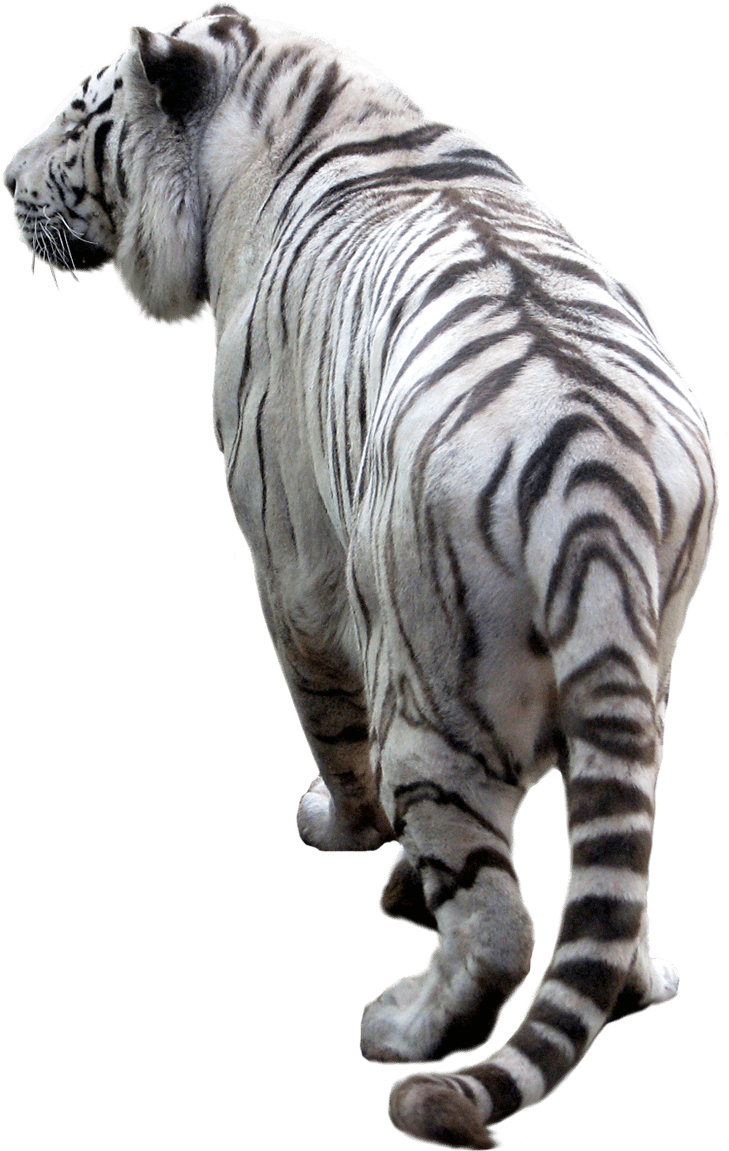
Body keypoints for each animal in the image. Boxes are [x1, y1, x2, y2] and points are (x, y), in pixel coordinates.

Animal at [3, 6, 718, 1147]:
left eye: (77, 118)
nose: (1, 182)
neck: (306, 115)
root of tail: (594, 482)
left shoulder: (289, 559)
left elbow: (329, 730)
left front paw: (341, 835)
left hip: (432, 697)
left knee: (497, 921)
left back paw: (403, 1026)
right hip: (645, 671)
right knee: (619, 857)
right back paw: (642, 978)